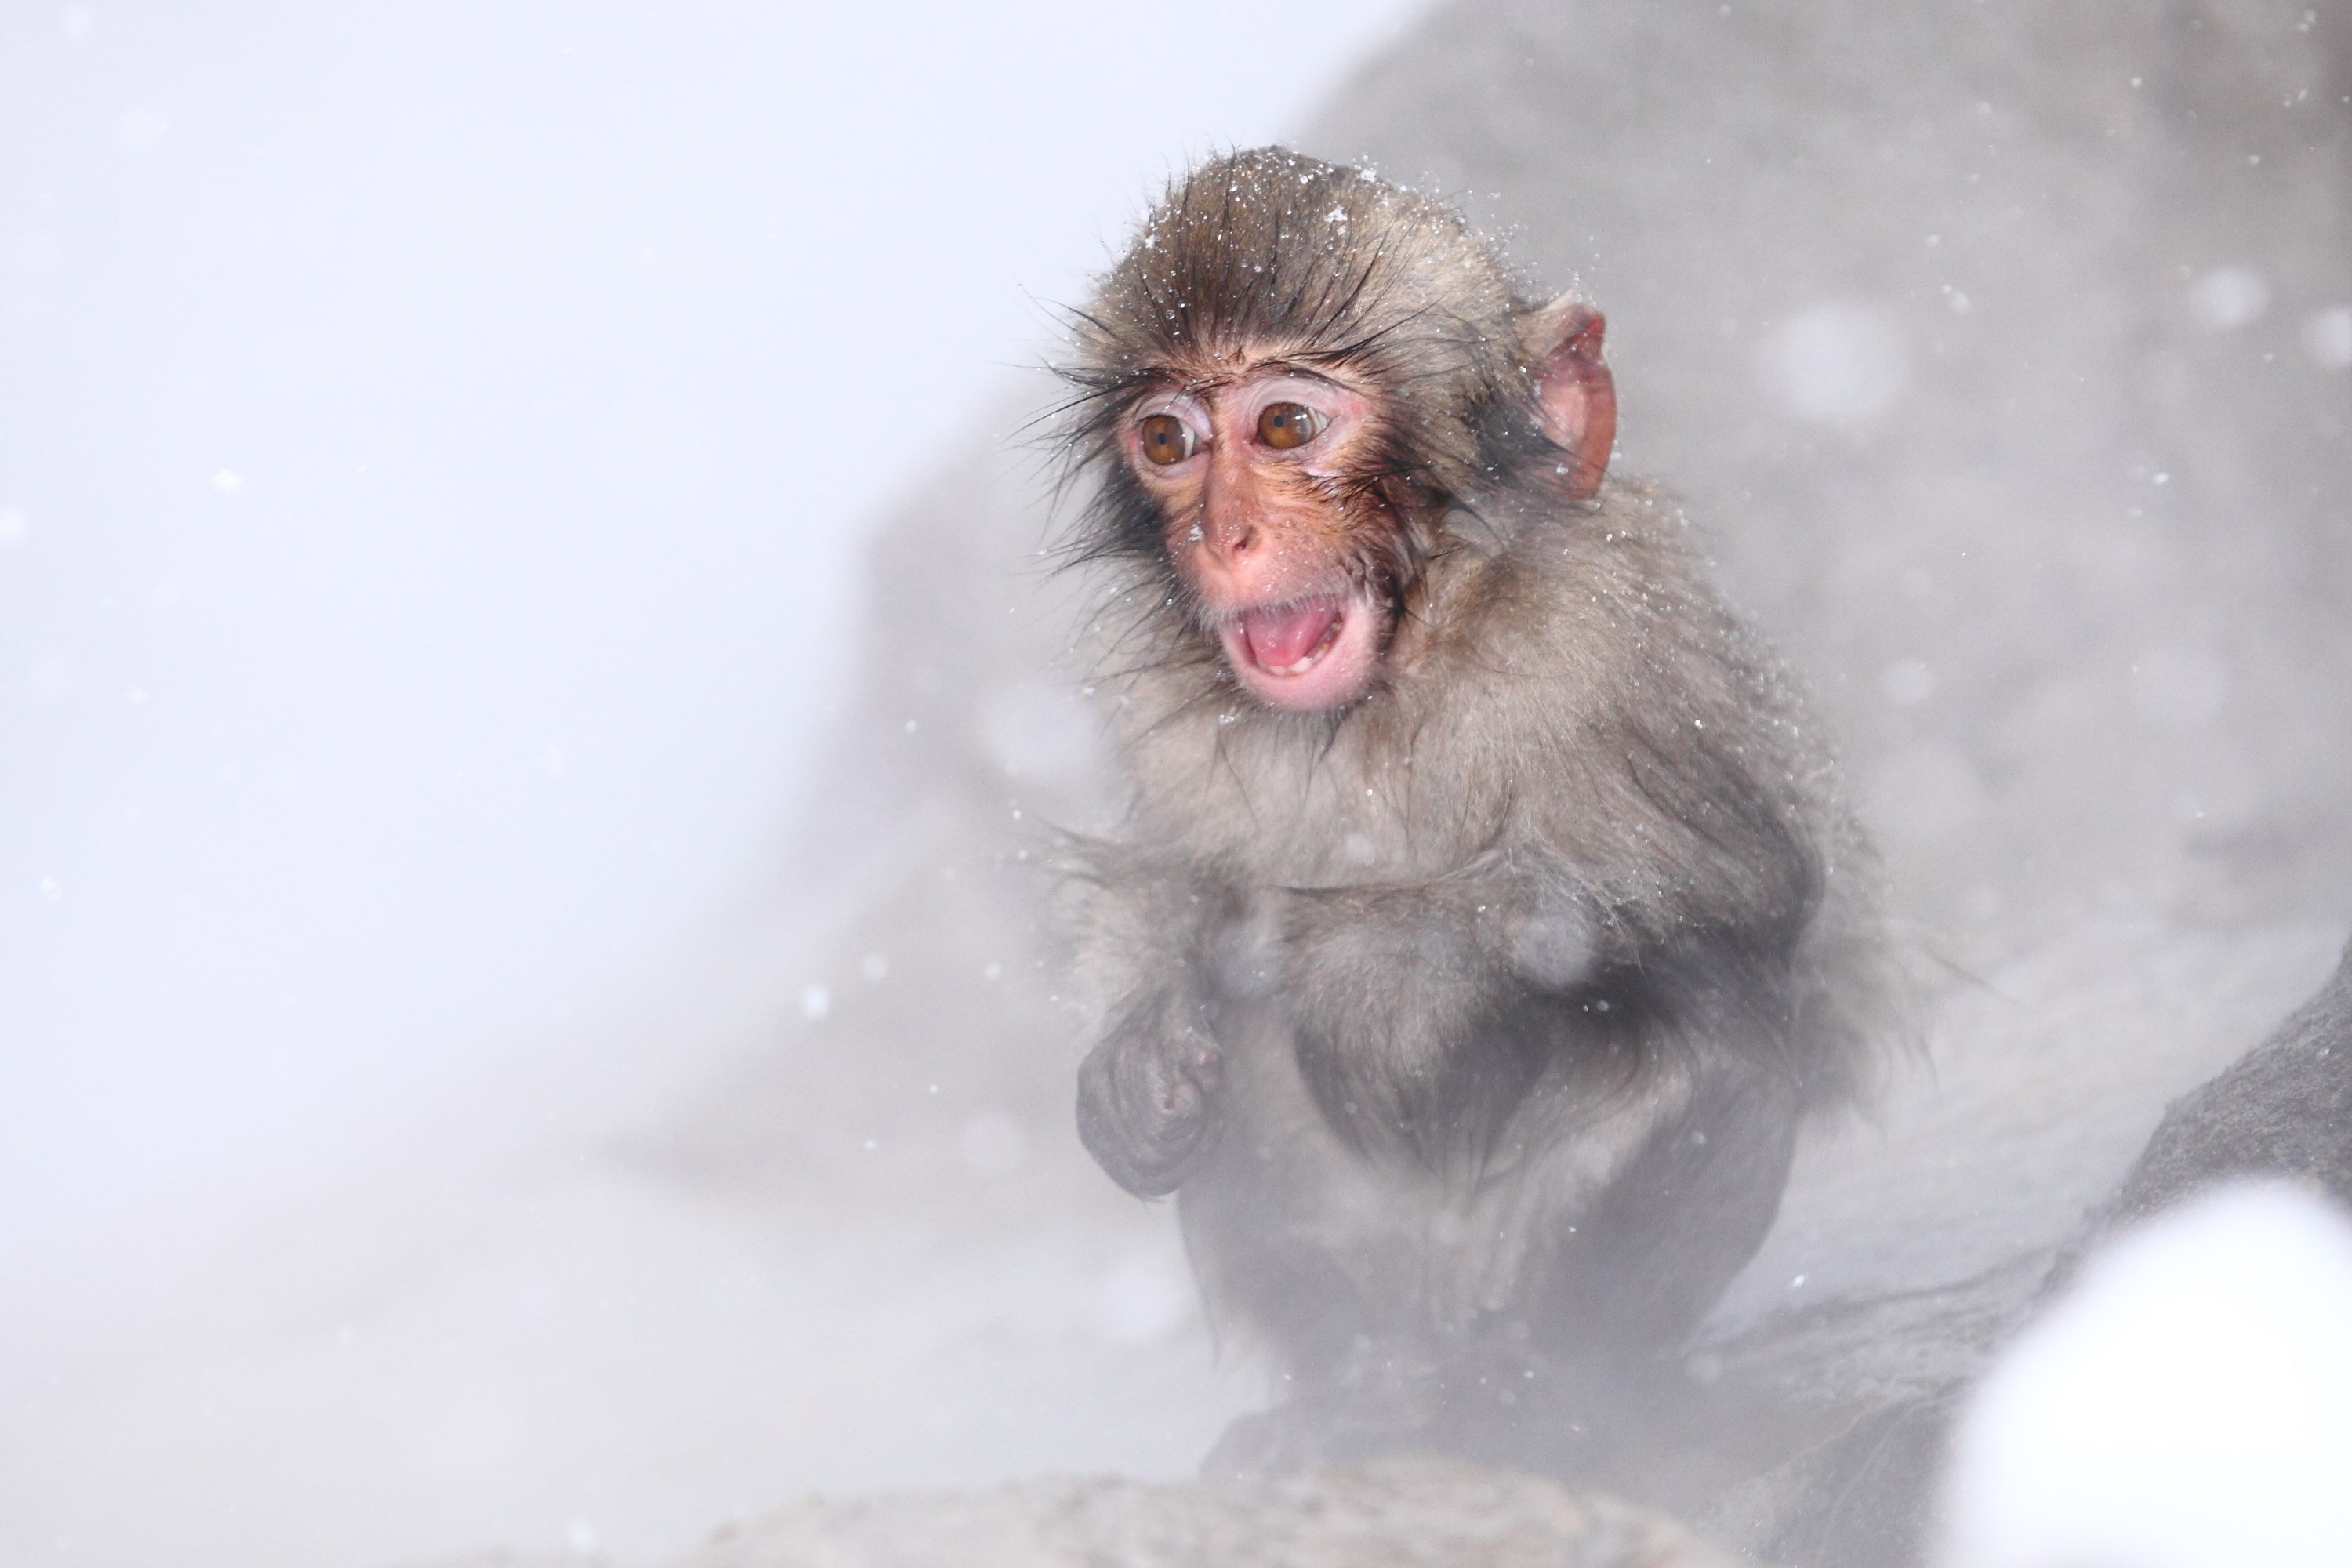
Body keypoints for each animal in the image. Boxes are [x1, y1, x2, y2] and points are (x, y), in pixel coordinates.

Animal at [1048, 148, 1886, 1473]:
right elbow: (1180, 885)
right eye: (1168, 439)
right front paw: (1134, 1056)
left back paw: (1556, 1393)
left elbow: (1750, 889)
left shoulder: (1615, 638)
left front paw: (1377, 970)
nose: (1224, 534)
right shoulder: (1172, 726)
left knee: (1717, 1018)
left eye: (1284, 425)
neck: (1411, 664)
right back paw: (1353, 1396)